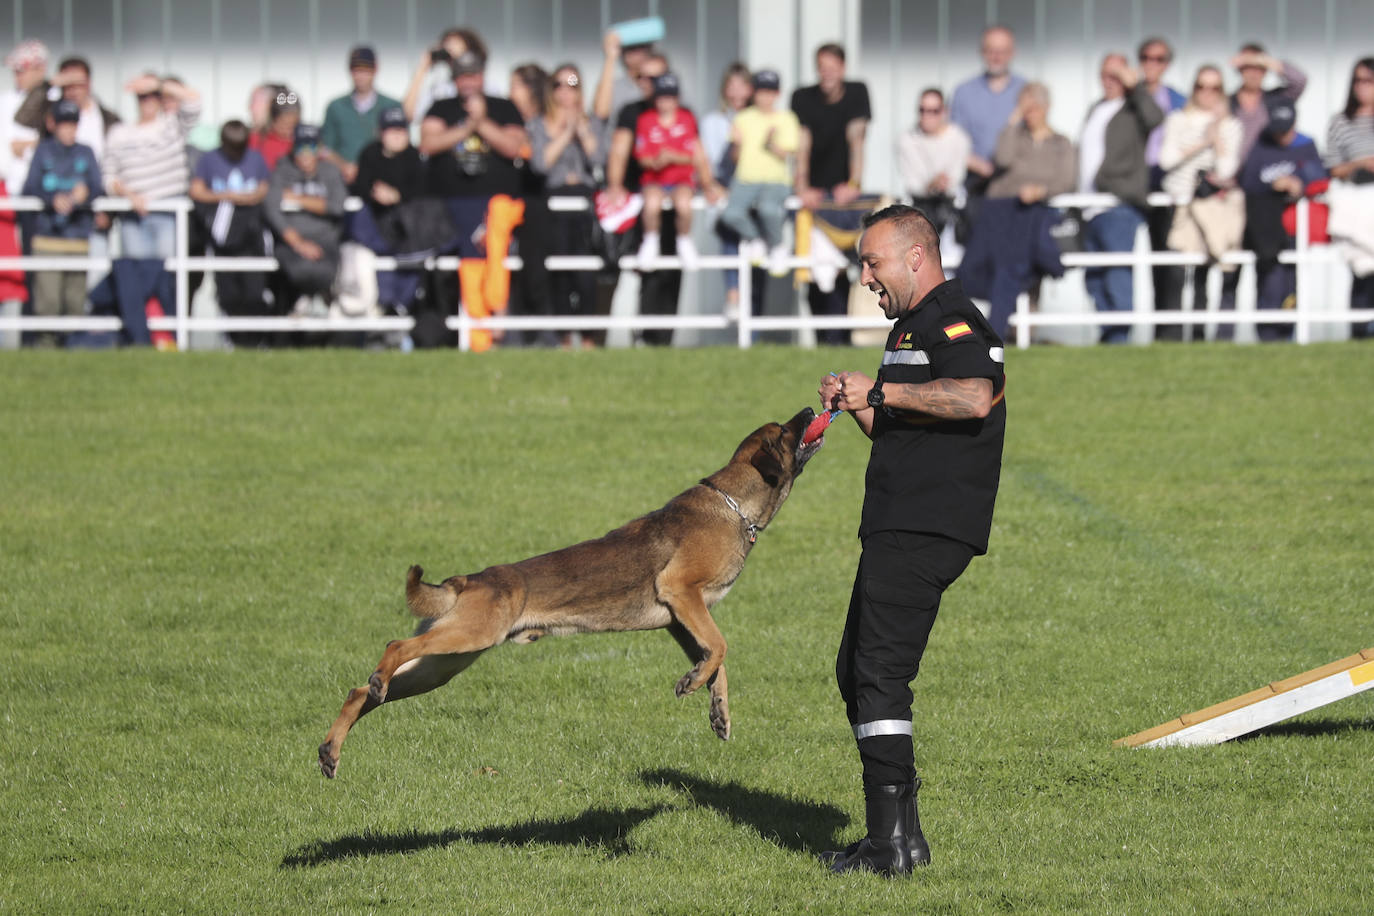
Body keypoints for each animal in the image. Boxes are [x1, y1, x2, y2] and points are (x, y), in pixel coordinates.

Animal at [316, 406, 818, 774]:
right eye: (785, 430)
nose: (813, 406)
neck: (732, 505)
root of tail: (468, 580)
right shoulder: (681, 593)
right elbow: (721, 646)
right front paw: (694, 684)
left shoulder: (681, 618)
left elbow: (715, 657)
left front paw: (717, 708)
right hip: (464, 638)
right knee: (393, 646)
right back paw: (372, 686)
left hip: (441, 664)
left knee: (360, 692)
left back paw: (332, 749)